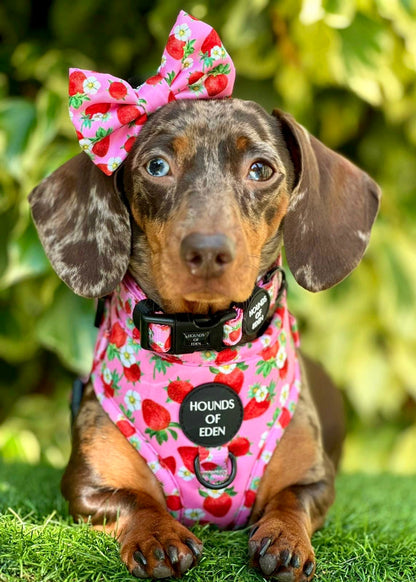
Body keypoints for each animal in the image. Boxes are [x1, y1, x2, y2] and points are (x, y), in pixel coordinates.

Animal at [28, 98, 380, 580]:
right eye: (157, 165)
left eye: (260, 169)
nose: (208, 251)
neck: (205, 348)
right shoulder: (86, 486)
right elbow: (134, 500)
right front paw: (158, 534)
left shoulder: (315, 480)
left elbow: (292, 499)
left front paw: (285, 537)